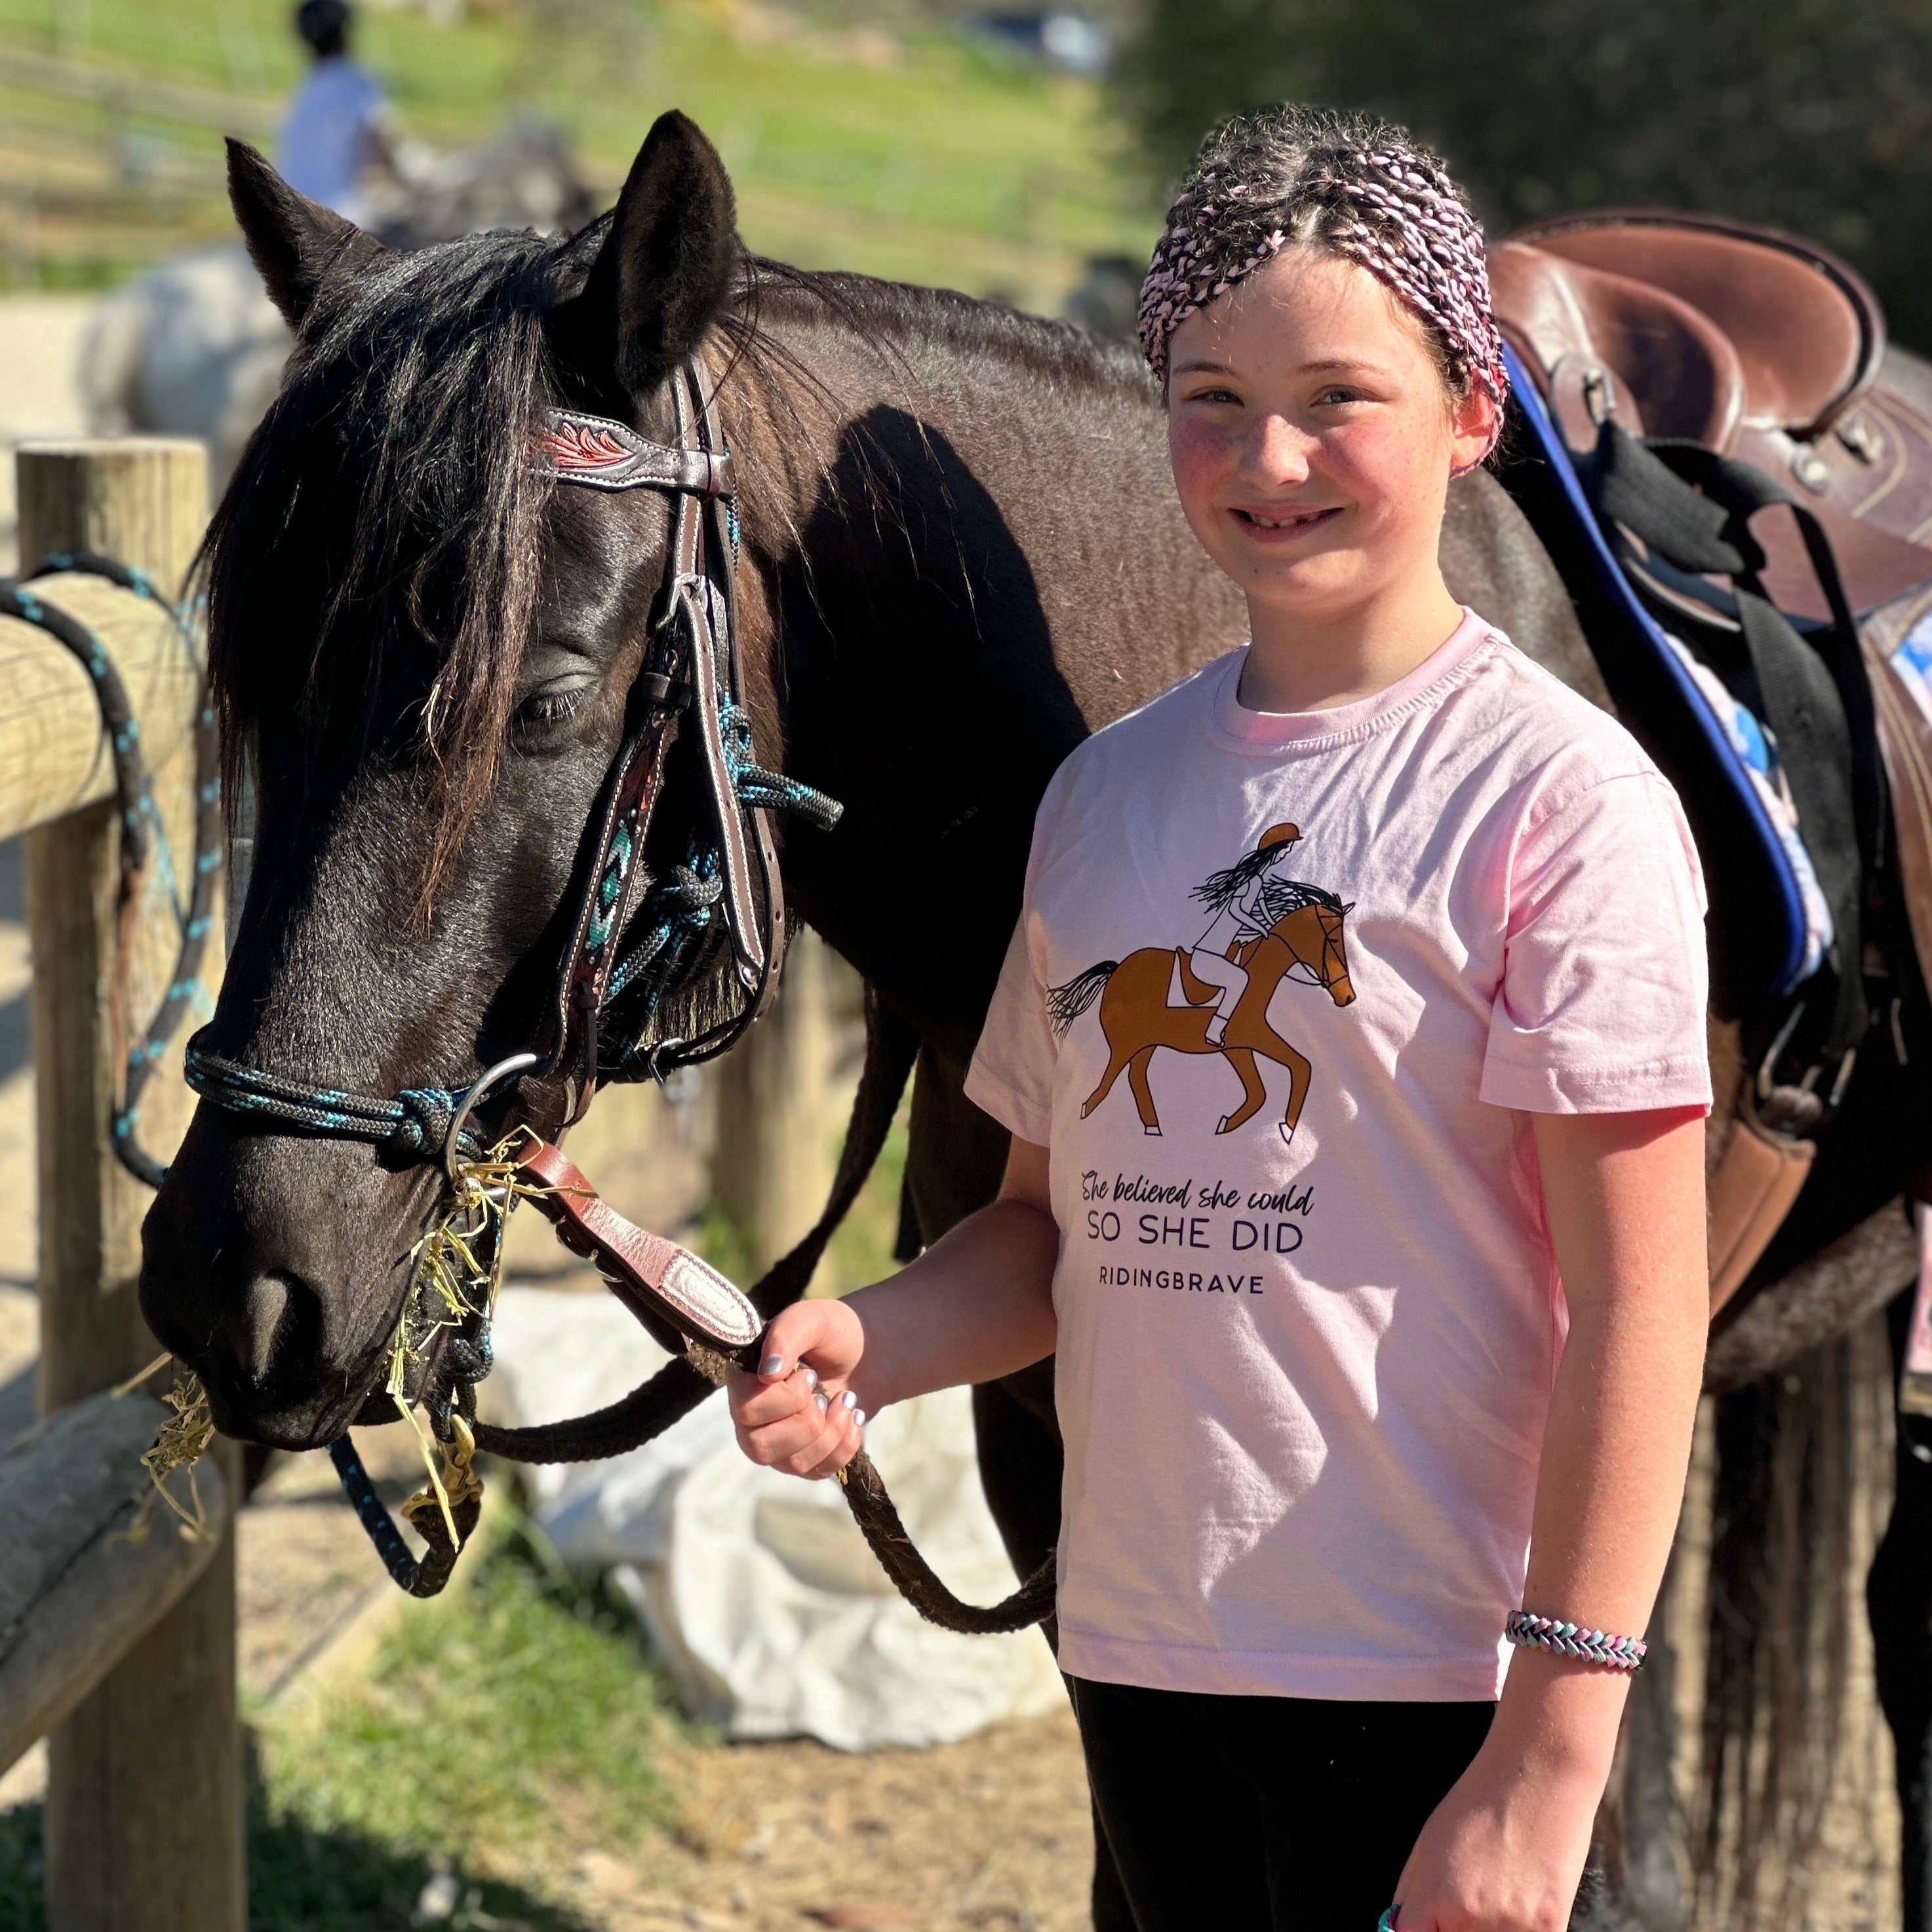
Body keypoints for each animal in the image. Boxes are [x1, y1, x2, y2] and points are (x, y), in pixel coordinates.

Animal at [1053, 891, 1357, 1143]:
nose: (1348, 997)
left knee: (1135, 1075)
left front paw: (1235, 1124)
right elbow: (1294, 1070)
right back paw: (1090, 1109)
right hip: (1126, 1043)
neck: (1257, 974)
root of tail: (1116, 971)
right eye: (1333, 940)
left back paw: (1152, 1126)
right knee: (1110, 1078)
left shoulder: (1239, 1047)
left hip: (1147, 1043)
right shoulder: (1249, 1038)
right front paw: (1287, 1127)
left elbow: (1268, 1086)